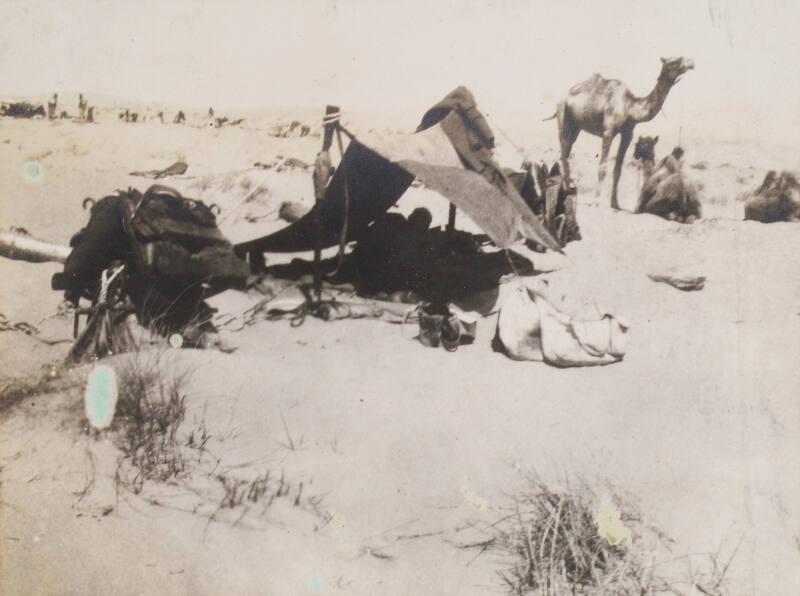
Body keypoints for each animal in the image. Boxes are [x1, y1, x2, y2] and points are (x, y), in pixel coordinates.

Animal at [552, 56, 692, 210]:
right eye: (674, 61)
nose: (690, 62)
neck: (630, 107)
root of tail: (564, 97)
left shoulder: (628, 133)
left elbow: (618, 168)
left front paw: (615, 203)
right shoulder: (608, 131)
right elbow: (603, 167)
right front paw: (597, 201)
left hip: (575, 128)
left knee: (566, 155)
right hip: (563, 118)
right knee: (563, 154)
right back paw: (565, 191)